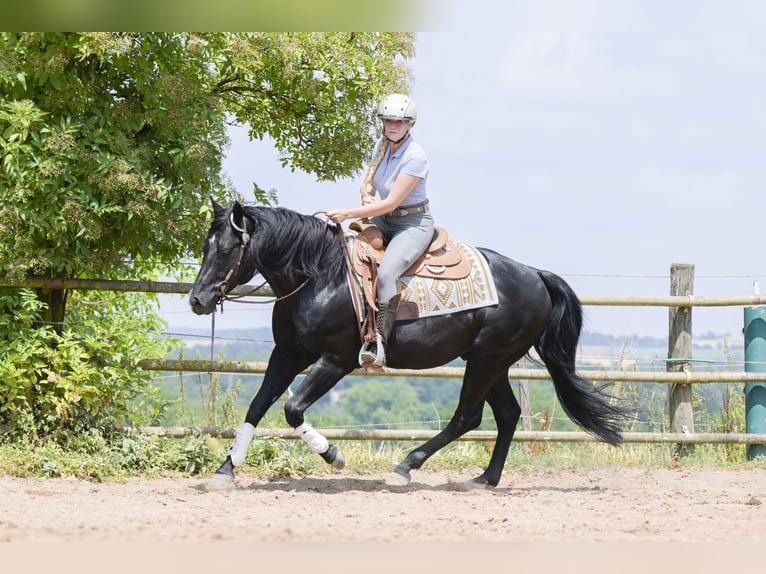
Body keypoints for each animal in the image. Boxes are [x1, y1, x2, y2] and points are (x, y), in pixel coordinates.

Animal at [188, 199, 631, 490]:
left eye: (226, 249)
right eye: (206, 246)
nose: (197, 300)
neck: (320, 274)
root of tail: (535, 275)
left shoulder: (336, 360)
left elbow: (292, 408)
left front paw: (333, 455)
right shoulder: (288, 353)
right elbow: (258, 404)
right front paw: (226, 470)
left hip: (487, 361)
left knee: (467, 417)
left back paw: (406, 467)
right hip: (493, 361)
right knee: (506, 415)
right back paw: (484, 479)